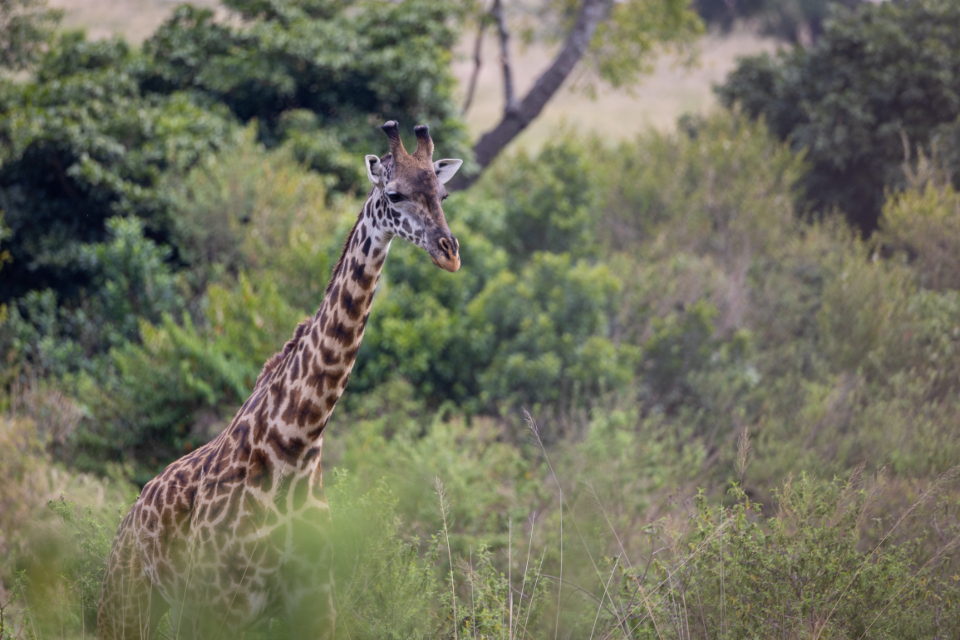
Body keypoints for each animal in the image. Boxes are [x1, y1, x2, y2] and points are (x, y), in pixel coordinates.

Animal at [97, 121, 462, 640]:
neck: (294, 442)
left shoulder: (314, 605)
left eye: (442, 193)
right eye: (393, 193)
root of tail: (128, 521)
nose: (449, 254)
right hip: (129, 603)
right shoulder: (219, 605)